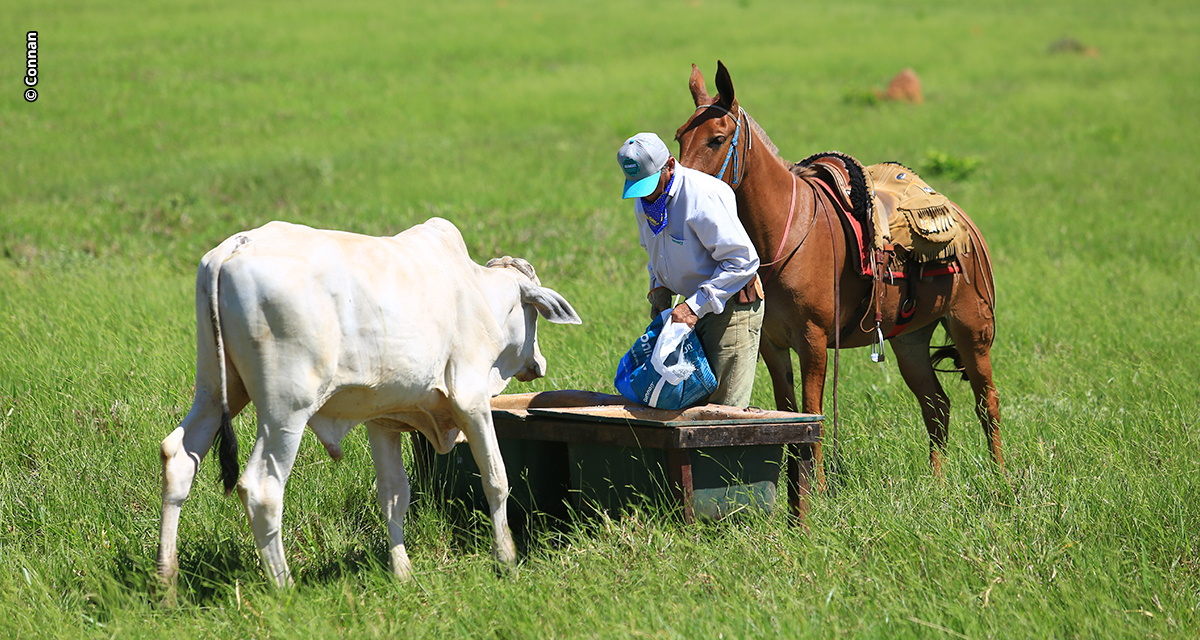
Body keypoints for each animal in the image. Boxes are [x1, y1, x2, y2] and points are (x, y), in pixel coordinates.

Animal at [156, 218, 580, 588]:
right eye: (533, 316)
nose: (538, 363)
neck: (478, 293)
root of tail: (236, 244)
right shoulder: (471, 401)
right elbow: (496, 479)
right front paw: (506, 558)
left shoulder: (384, 422)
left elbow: (393, 496)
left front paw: (402, 573)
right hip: (285, 410)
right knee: (261, 488)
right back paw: (284, 588)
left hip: (215, 390)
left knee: (178, 458)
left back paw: (167, 584)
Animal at [676, 62, 1003, 475]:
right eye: (679, 137)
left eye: (717, 139)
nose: (678, 189)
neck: (785, 230)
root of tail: (964, 222)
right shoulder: (772, 345)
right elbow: (787, 414)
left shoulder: (813, 342)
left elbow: (812, 415)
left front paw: (814, 484)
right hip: (911, 339)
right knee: (937, 406)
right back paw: (937, 481)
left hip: (971, 327)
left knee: (986, 402)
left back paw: (1001, 477)